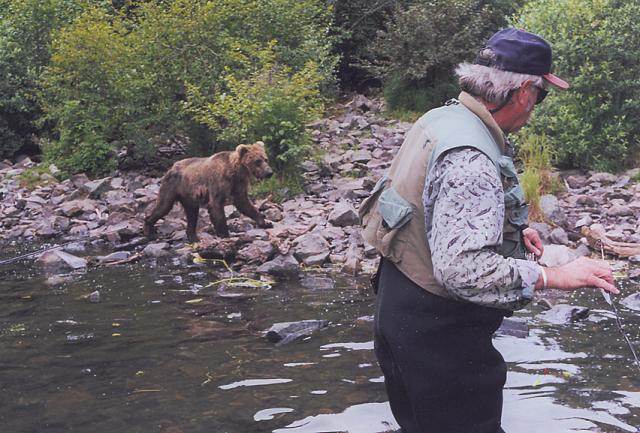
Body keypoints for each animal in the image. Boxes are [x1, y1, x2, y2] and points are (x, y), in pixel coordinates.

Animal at [144, 140, 274, 241]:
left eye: (265, 159)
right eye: (257, 161)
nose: (269, 172)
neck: (235, 171)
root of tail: (172, 167)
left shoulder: (238, 184)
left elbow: (243, 202)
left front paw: (266, 222)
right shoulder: (218, 181)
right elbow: (216, 205)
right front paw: (225, 234)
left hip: (188, 195)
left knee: (192, 214)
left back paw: (193, 237)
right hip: (172, 185)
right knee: (163, 206)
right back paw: (149, 229)